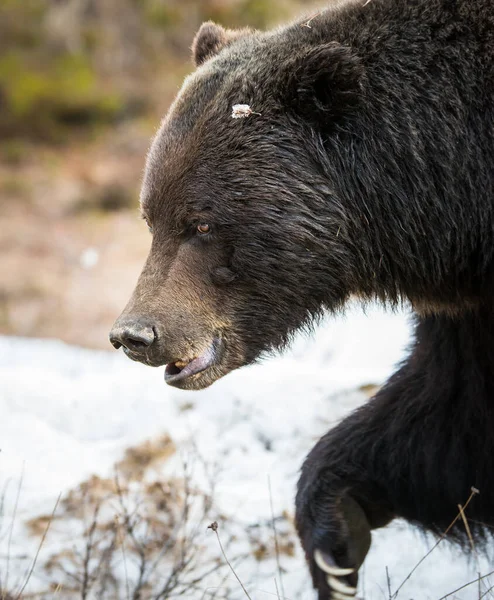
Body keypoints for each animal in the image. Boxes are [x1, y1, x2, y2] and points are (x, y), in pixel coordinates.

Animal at [110, 1, 494, 596]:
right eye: (152, 217)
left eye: (201, 223)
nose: (135, 333)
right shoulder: (470, 309)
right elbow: (451, 416)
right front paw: (334, 534)